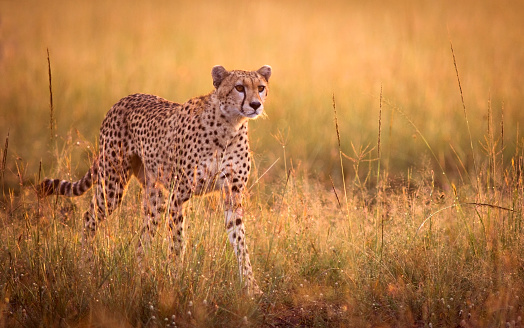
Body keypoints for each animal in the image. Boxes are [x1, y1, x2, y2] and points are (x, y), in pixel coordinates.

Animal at [39, 64, 272, 294]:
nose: (255, 105)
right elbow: (177, 243)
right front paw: (176, 280)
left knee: (143, 236)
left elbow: (240, 242)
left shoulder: (233, 194)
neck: (229, 125)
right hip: (112, 185)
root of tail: (124, 99)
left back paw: (141, 275)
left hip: (155, 197)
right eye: (239, 87)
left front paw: (251, 287)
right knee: (89, 218)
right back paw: (85, 267)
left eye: (260, 87)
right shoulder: (178, 195)